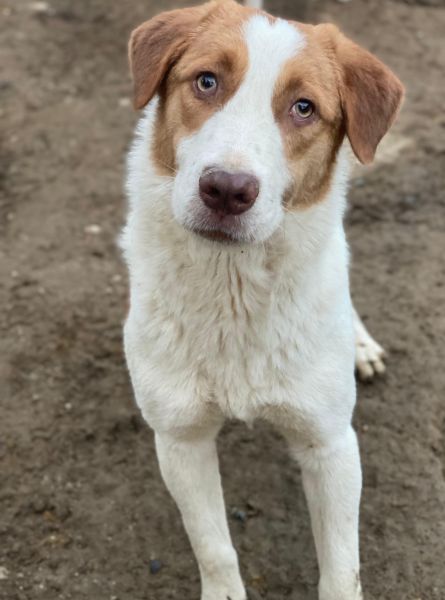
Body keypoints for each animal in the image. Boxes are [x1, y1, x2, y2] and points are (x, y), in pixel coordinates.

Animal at [121, 1, 404, 598]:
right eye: (206, 80)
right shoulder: (179, 439)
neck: (235, 291)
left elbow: (341, 570)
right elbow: (214, 547)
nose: (227, 190)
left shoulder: (331, 445)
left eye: (304, 108)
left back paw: (358, 343)